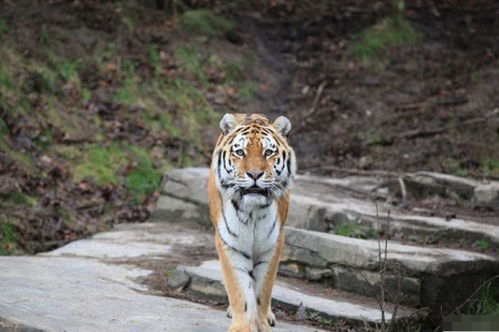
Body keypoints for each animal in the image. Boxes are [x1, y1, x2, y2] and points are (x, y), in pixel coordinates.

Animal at [208, 113, 296, 330]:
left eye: (268, 152)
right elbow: (239, 291)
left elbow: (263, 289)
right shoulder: (230, 243)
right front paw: (243, 327)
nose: (255, 175)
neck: (253, 212)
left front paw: (262, 324)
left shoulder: (272, 244)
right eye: (240, 152)